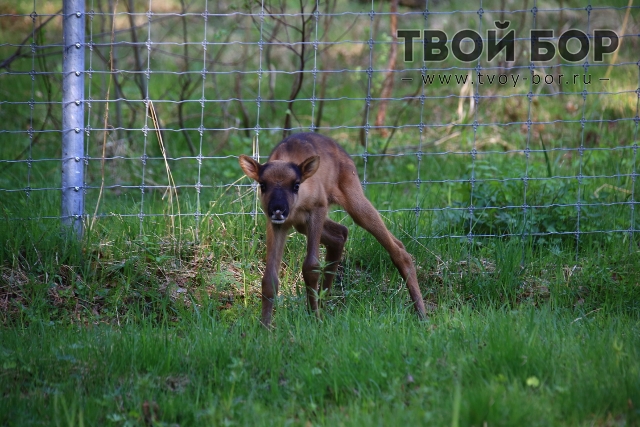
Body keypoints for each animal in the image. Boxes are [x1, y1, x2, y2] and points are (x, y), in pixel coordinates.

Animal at [239, 134, 424, 328]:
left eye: (296, 185)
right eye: (262, 184)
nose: (278, 209)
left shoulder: (318, 207)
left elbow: (311, 266)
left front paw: (315, 319)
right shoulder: (277, 224)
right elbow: (269, 278)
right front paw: (265, 327)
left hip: (354, 199)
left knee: (398, 249)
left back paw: (422, 313)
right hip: (301, 225)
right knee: (341, 234)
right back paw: (322, 301)